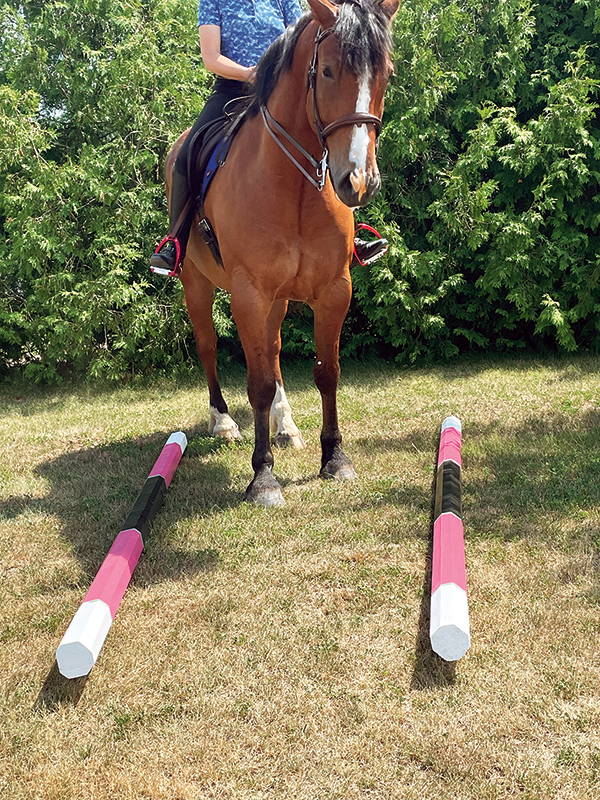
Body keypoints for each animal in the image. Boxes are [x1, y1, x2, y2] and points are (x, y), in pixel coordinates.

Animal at [165, 0, 399, 506]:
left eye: (385, 74)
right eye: (327, 70)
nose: (358, 181)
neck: (295, 189)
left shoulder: (333, 291)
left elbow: (326, 372)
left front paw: (335, 457)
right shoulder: (249, 295)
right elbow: (256, 383)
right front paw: (263, 477)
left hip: (277, 301)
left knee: (271, 354)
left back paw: (286, 424)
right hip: (197, 284)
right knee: (210, 347)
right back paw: (223, 421)